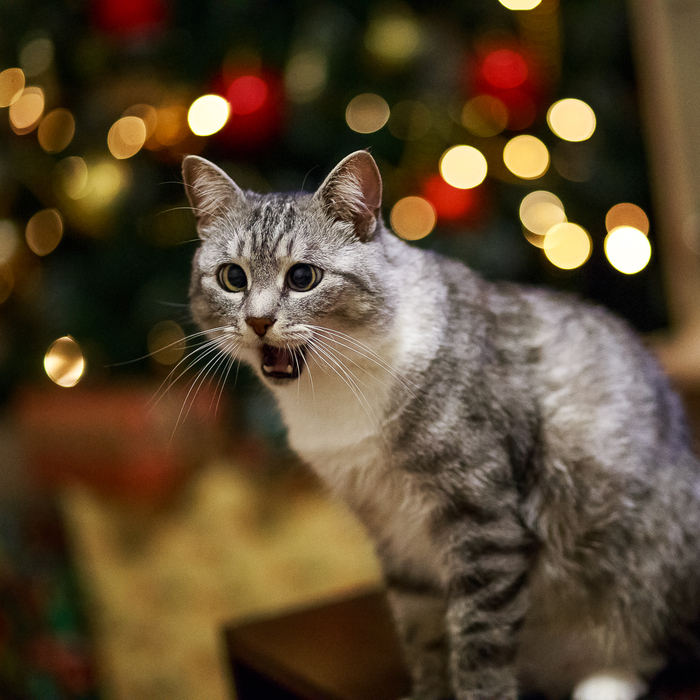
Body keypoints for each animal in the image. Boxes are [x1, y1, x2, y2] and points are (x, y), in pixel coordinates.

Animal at [180, 150, 700, 696]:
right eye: (232, 278)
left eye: (303, 277)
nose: (258, 322)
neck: (332, 392)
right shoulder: (394, 533)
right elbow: (423, 632)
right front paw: (429, 691)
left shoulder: (483, 516)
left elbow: (480, 640)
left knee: (646, 648)